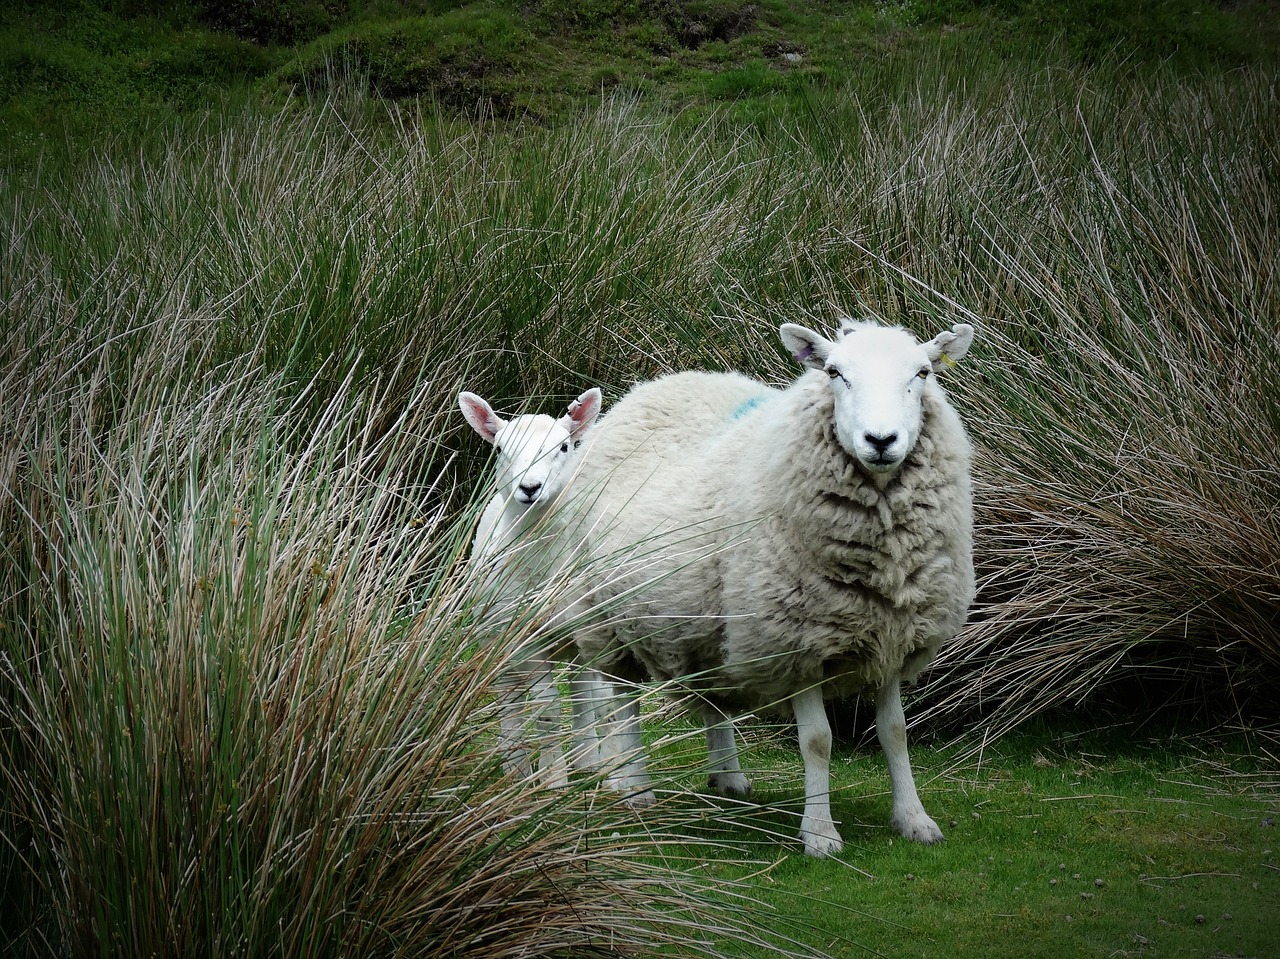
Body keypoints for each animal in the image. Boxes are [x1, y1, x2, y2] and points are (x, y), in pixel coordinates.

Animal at [460, 384, 609, 788]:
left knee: (584, 691)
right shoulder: (527, 638)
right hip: (495, 633)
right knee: (508, 690)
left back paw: (587, 759)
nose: (530, 487)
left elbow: (590, 697)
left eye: (564, 446)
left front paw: (588, 768)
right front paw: (552, 781)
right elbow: (546, 710)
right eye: (500, 449)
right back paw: (514, 766)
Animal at [565, 317, 972, 855]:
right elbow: (818, 741)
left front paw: (913, 819)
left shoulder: (892, 633)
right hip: (605, 617)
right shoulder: (795, 641)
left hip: (706, 624)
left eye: (922, 373)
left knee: (711, 697)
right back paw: (635, 787)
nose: (881, 440)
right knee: (623, 702)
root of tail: (652, 387)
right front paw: (820, 833)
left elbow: (895, 733)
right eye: (835, 372)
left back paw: (727, 777)